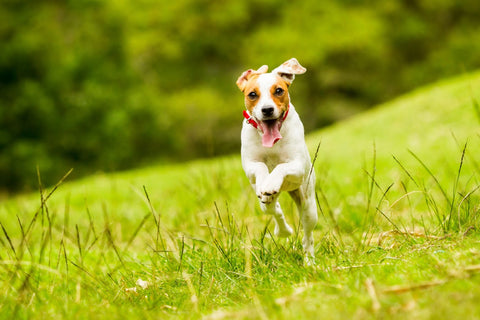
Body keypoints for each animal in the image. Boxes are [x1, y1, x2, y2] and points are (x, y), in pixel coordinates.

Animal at [236, 57, 318, 262]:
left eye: (279, 90)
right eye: (252, 94)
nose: (267, 109)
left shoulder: (298, 167)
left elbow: (281, 167)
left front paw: (271, 181)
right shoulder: (250, 166)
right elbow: (259, 167)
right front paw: (266, 183)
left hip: (308, 204)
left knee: (308, 236)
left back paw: (309, 260)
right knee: (272, 209)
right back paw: (283, 229)